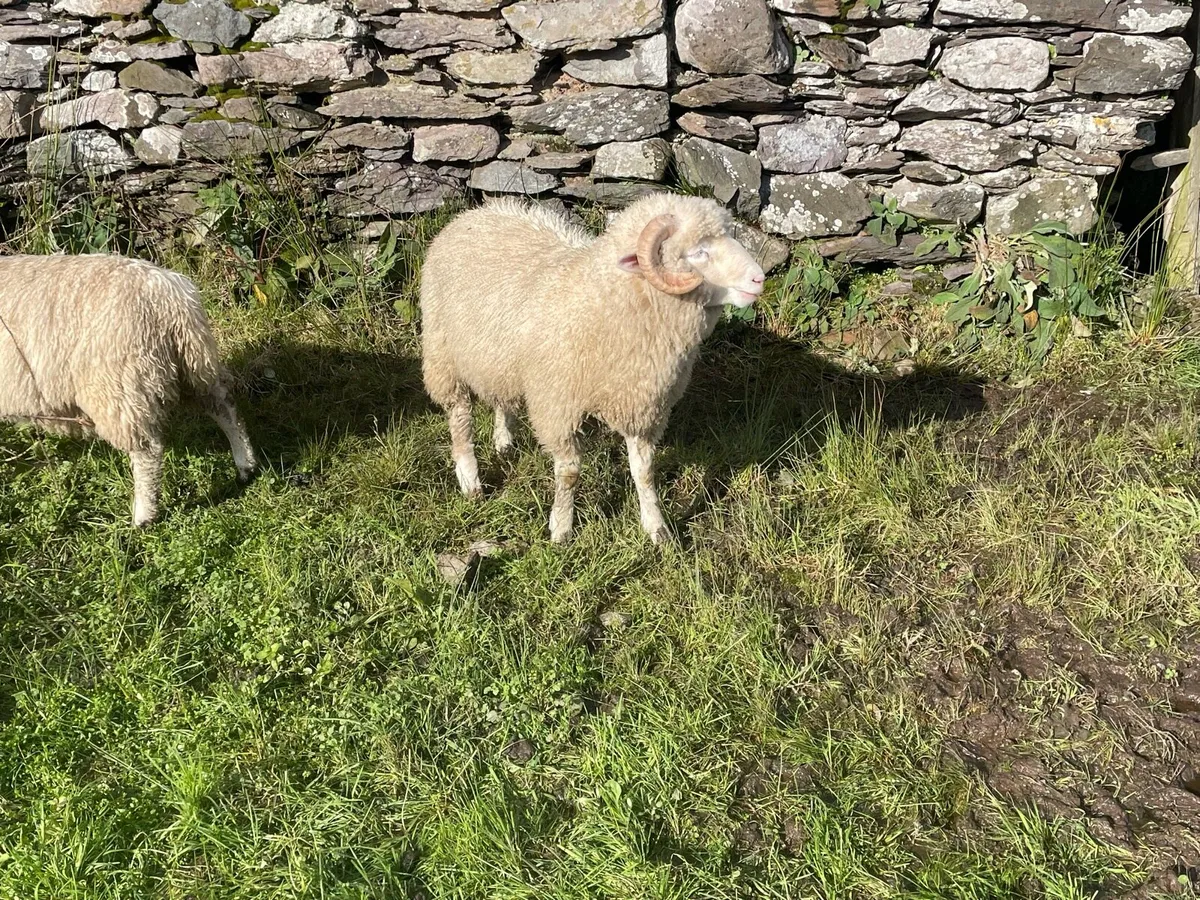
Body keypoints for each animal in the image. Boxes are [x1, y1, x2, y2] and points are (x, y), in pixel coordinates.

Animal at [0, 253, 257, 526]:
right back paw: (246, 465)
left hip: (120, 384)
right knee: (224, 404)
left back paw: (143, 516)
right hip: (193, 362)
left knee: (147, 451)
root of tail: (169, 295)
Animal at [419, 193, 766, 544]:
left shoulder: (641, 405)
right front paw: (561, 529)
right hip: (442, 352)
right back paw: (470, 481)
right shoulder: (557, 406)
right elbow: (569, 472)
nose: (759, 278)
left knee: (502, 399)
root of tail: (472, 214)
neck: (604, 300)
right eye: (698, 252)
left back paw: (504, 443)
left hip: (499, 359)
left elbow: (644, 472)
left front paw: (657, 529)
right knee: (460, 416)